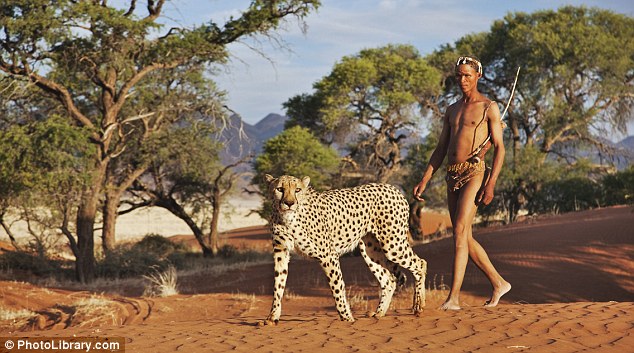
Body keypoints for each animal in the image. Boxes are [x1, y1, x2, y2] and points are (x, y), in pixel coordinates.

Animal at [260, 174, 428, 324]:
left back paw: (418, 306)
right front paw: (272, 317)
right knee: (389, 280)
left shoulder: (328, 255)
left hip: (392, 244)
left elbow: (337, 286)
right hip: (370, 251)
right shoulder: (281, 251)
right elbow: (278, 284)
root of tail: (392, 188)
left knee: (421, 263)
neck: (288, 218)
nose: (289, 203)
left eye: (297, 190)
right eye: (280, 189)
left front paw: (346, 317)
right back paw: (379, 313)